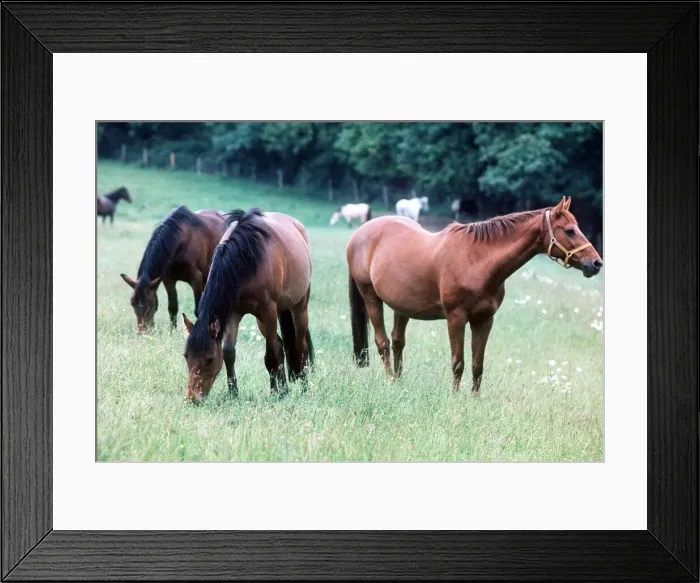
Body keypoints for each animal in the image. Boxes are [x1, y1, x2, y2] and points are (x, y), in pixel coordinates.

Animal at [120, 205, 227, 334]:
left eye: (150, 303)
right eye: (132, 303)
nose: (143, 333)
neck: (182, 240)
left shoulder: (196, 279)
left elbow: (197, 310)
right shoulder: (168, 279)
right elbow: (172, 307)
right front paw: (172, 332)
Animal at [182, 208, 314, 403]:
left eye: (210, 358)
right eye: (186, 356)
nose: (192, 398)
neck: (245, 260)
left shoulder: (268, 311)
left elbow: (271, 357)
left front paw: (276, 394)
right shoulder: (232, 314)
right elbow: (229, 353)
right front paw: (234, 393)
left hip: (299, 307)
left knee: (300, 346)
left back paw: (303, 390)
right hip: (263, 321)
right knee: (280, 345)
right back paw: (282, 389)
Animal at [347, 196, 602, 394]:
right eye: (569, 230)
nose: (596, 263)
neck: (477, 261)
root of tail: (360, 232)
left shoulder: (484, 320)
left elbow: (477, 365)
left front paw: (474, 399)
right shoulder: (456, 318)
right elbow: (458, 362)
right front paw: (455, 398)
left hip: (402, 306)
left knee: (398, 342)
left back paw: (400, 384)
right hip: (370, 296)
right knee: (383, 343)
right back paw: (391, 381)